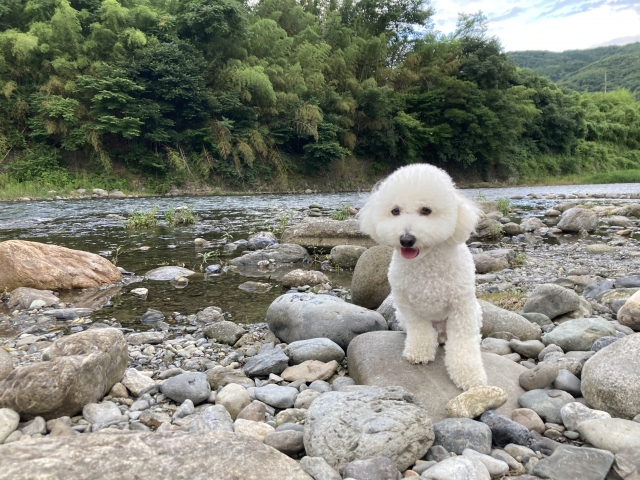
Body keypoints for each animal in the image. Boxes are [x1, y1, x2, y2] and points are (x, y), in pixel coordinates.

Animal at [358, 163, 488, 392]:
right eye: (395, 211)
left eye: (426, 210)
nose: (406, 239)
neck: (426, 262)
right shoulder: (408, 305)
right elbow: (420, 330)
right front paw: (419, 352)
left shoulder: (462, 308)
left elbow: (463, 345)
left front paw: (470, 376)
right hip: (401, 316)